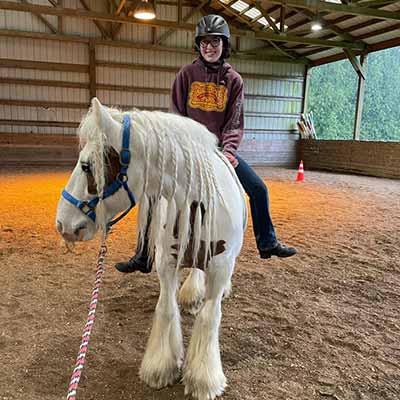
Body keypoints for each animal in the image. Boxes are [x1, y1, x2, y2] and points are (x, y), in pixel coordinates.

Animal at [55, 97, 247, 400]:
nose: (62, 223)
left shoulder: (221, 265)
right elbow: (166, 309)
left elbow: (209, 317)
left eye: (86, 166)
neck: (197, 204)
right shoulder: (166, 262)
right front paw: (160, 368)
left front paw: (203, 380)